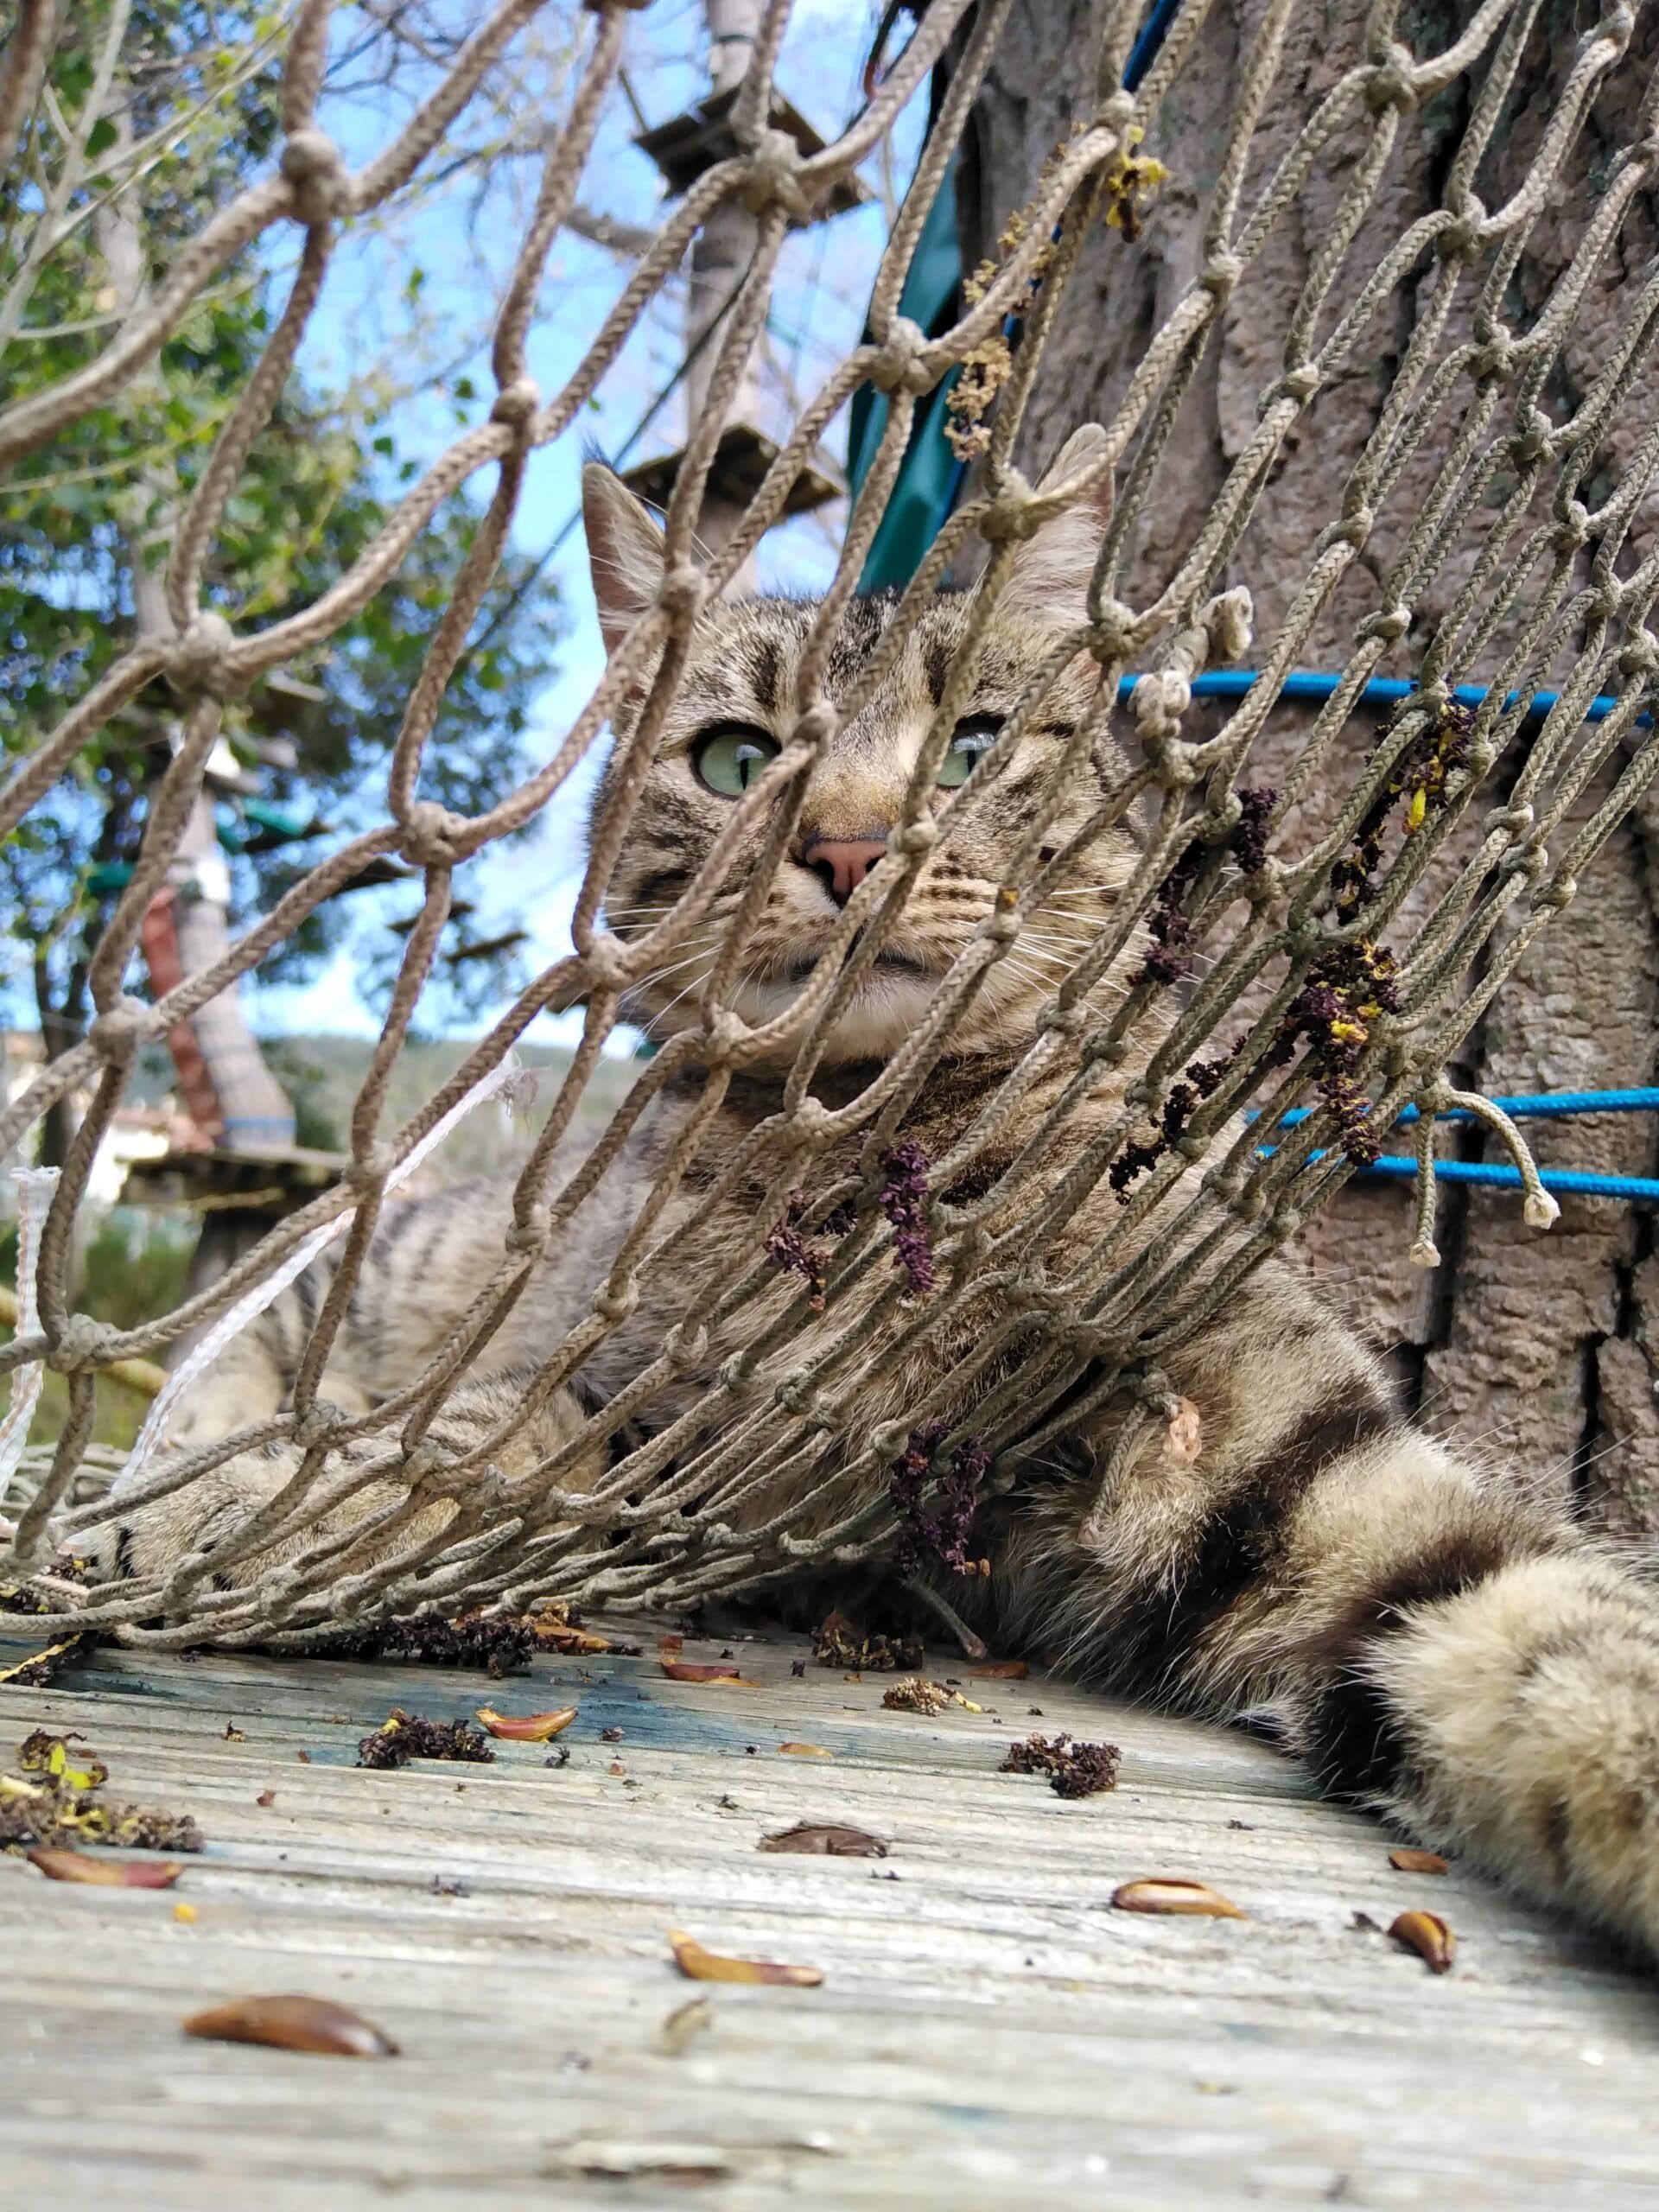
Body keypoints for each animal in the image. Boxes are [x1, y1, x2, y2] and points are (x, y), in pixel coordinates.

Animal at [87, 435, 1659, 1973]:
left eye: (975, 743)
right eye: (736, 759)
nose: (848, 847)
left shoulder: (1284, 1447)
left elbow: (1548, 1616)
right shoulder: (623, 1415)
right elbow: (471, 1451)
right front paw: (244, 1516)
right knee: (243, 1350)